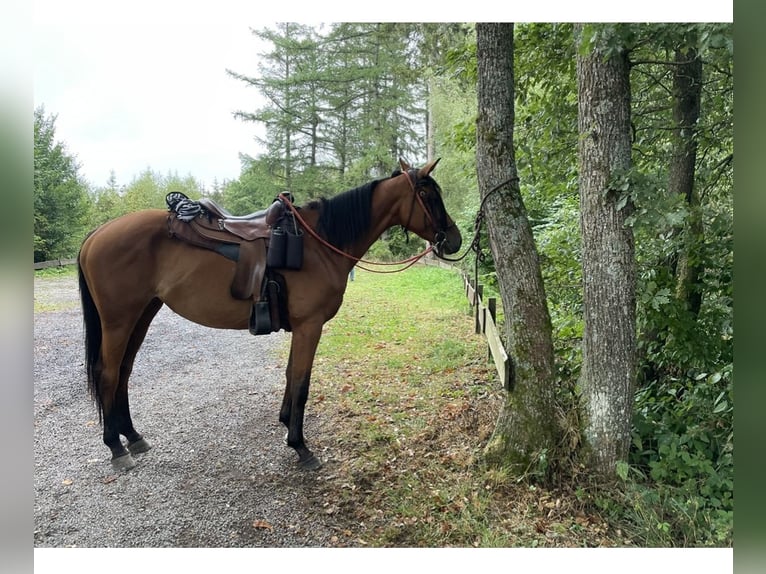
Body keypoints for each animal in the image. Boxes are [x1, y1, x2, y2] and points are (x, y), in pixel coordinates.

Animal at [78, 160, 462, 474]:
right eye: (426, 194)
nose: (455, 239)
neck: (320, 244)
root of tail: (96, 234)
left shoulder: (303, 328)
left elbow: (292, 375)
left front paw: (285, 424)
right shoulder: (310, 326)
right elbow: (302, 382)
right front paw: (301, 447)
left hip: (143, 314)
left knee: (124, 372)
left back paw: (132, 436)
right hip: (119, 320)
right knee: (108, 373)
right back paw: (115, 447)